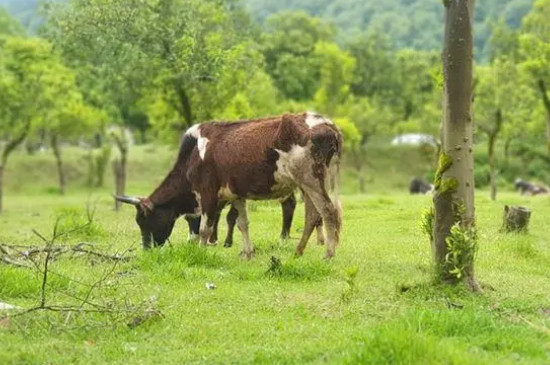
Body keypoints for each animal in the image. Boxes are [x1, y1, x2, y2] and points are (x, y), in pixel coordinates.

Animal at [116, 112, 342, 258]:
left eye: (144, 220)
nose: (147, 249)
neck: (194, 155)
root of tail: (327, 123)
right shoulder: (236, 195)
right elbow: (242, 223)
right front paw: (247, 252)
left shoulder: (207, 193)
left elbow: (205, 229)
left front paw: (201, 253)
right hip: (306, 184)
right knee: (312, 215)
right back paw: (298, 251)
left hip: (311, 179)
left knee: (328, 211)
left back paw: (328, 254)